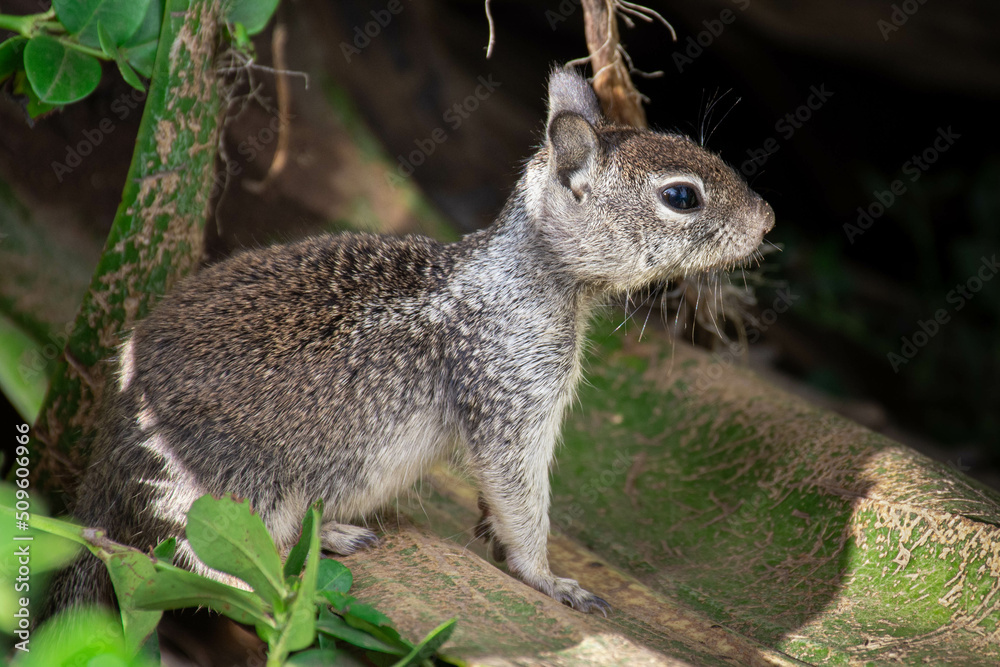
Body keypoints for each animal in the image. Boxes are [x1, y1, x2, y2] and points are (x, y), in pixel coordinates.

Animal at [48, 68, 774, 616]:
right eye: (681, 197)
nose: (768, 218)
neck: (529, 273)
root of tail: (113, 444)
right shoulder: (513, 395)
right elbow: (522, 498)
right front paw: (549, 577)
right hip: (232, 495)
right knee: (209, 567)